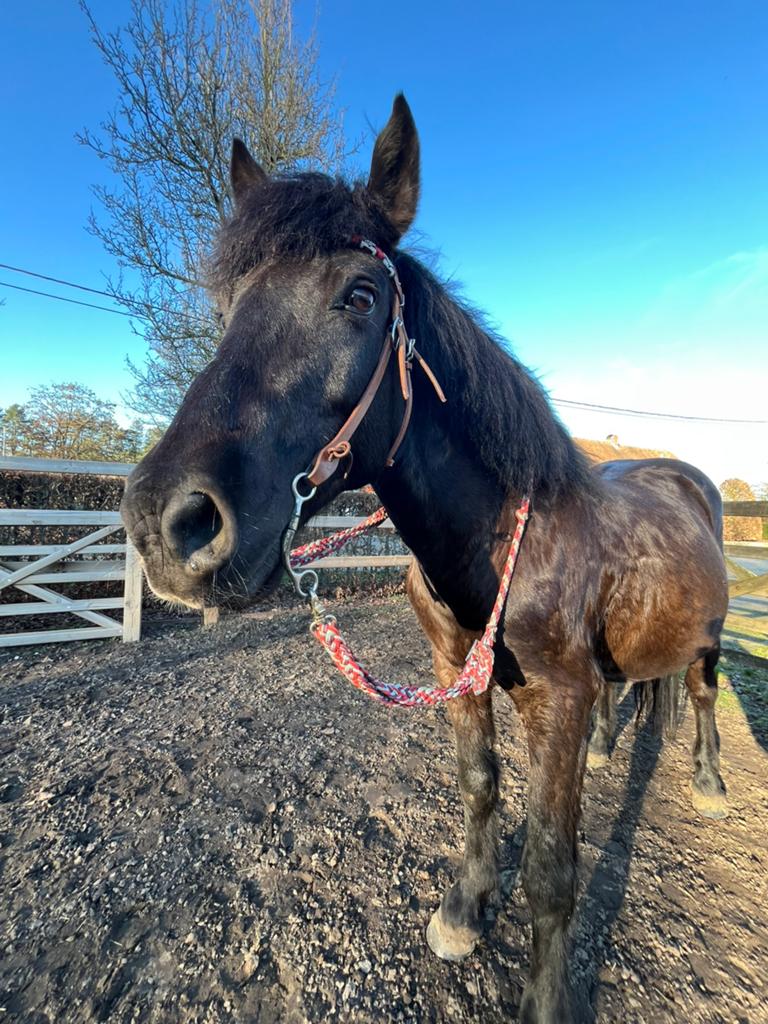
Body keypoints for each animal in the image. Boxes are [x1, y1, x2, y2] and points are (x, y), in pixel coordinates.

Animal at [121, 95, 730, 1022]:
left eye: (360, 294)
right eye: (228, 304)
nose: (165, 522)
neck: (501, 535)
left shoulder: (559, 698)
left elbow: (553, 868)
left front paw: (545, 997)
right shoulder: (455, 670)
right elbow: (479, 785)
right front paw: (464, 910)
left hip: (711, 640)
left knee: (698, 692)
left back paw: (707, 781)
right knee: (636, 691)